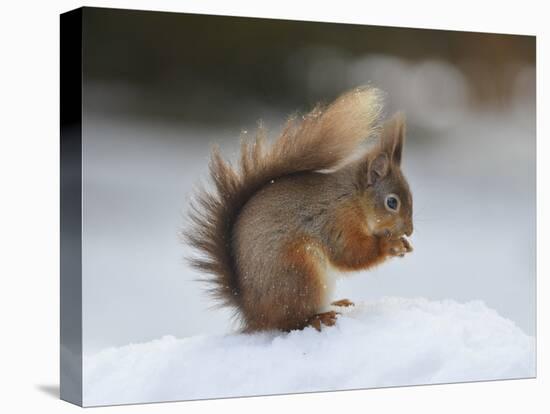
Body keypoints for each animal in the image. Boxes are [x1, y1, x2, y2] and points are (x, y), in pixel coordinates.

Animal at [185, 87, 414, 334]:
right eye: (392, 203)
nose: (409, 231)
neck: (352, 199)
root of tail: (253, 314)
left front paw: (404, 244)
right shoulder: (336, 221)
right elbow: (350, 253)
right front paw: (390, 245)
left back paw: (337, 304)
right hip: (299, 273)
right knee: (291, 322)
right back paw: (319, 317)